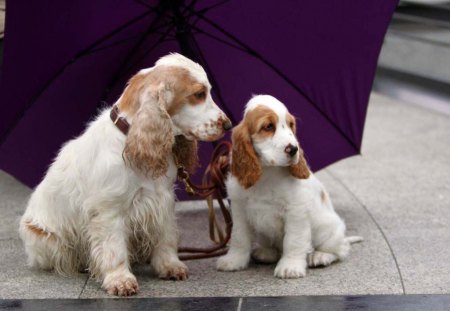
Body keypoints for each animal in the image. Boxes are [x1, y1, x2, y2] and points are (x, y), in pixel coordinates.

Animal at [20, 53, 232, 298]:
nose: (228, 124)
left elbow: (165, 237)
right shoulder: (109, 211)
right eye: (199, 94)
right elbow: (114, 249)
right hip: (43, 238)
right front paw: (120, 280)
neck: (131, 137)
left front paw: (170, 266)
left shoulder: (162, 201)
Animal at [216, 95, 360, 280]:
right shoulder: (240, 209)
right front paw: (233, 261)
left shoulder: (295, 212)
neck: (268, 173)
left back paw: (320, 256)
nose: (294, 149)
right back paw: (265, 252)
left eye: (291, 125)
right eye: (268, 126)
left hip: (326, 229)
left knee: (340, 250)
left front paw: (290, 267)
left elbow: (293, 241)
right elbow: (239, 237)